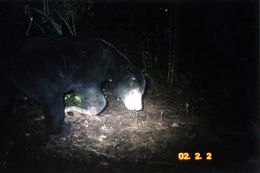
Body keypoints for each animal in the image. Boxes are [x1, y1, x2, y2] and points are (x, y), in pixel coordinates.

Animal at [2, 36, 145, 134]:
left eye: (142, 93)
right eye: (135, 91)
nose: (139, 107)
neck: (111, 63)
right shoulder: (88, 71)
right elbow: (94, 95)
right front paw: (83, 110)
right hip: (39, 76)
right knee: (53, 101)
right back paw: (60, 129)